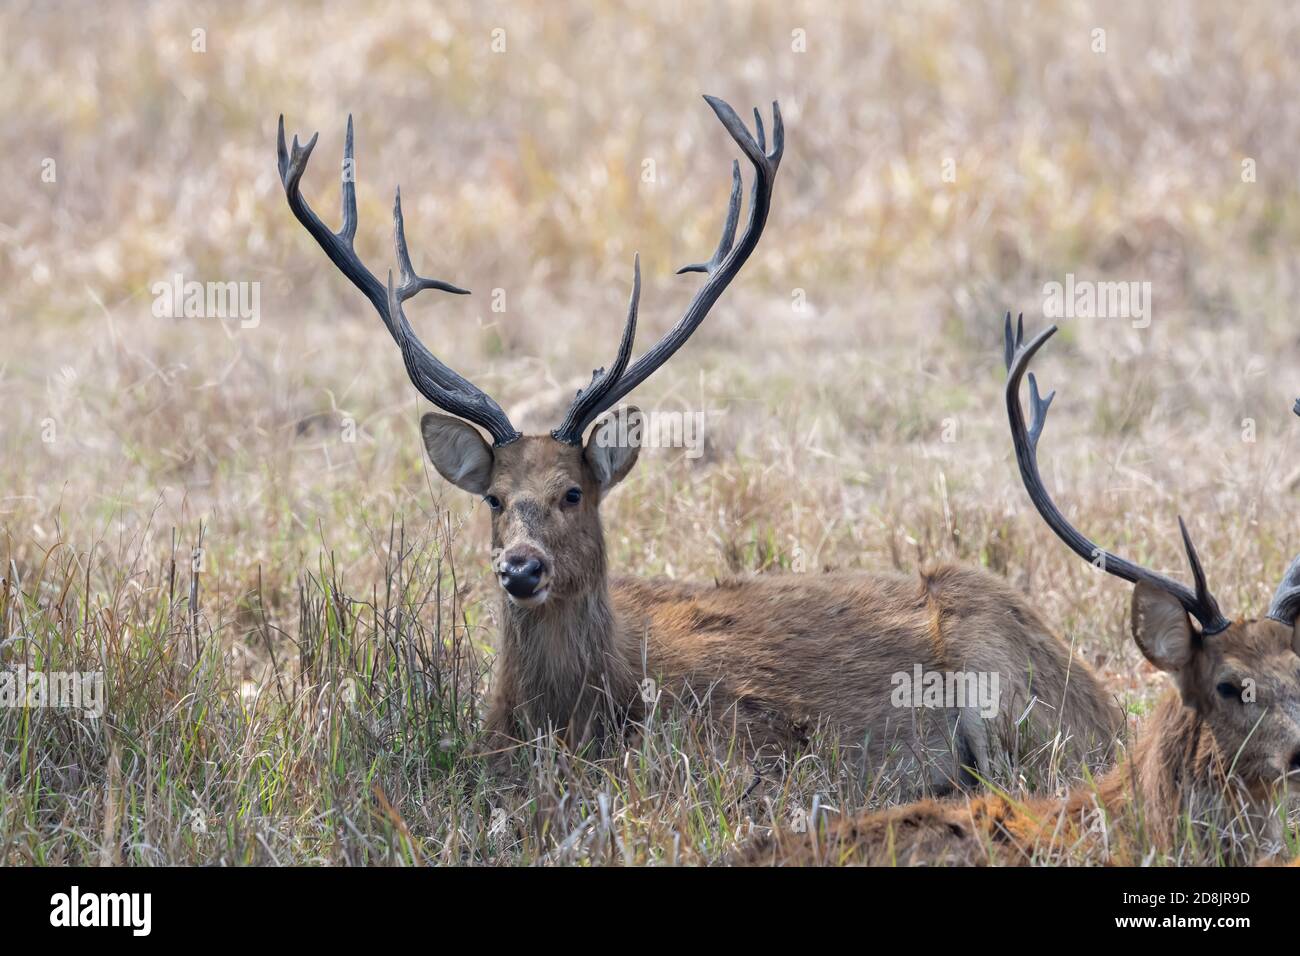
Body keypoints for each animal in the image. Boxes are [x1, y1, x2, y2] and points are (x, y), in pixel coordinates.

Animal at [279, 100, 1123, 796]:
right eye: (492, 497)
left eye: (573, 492)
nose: (520, 569)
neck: (584, 712)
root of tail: (1109, 709)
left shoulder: (742, 741)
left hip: (1001, 681)